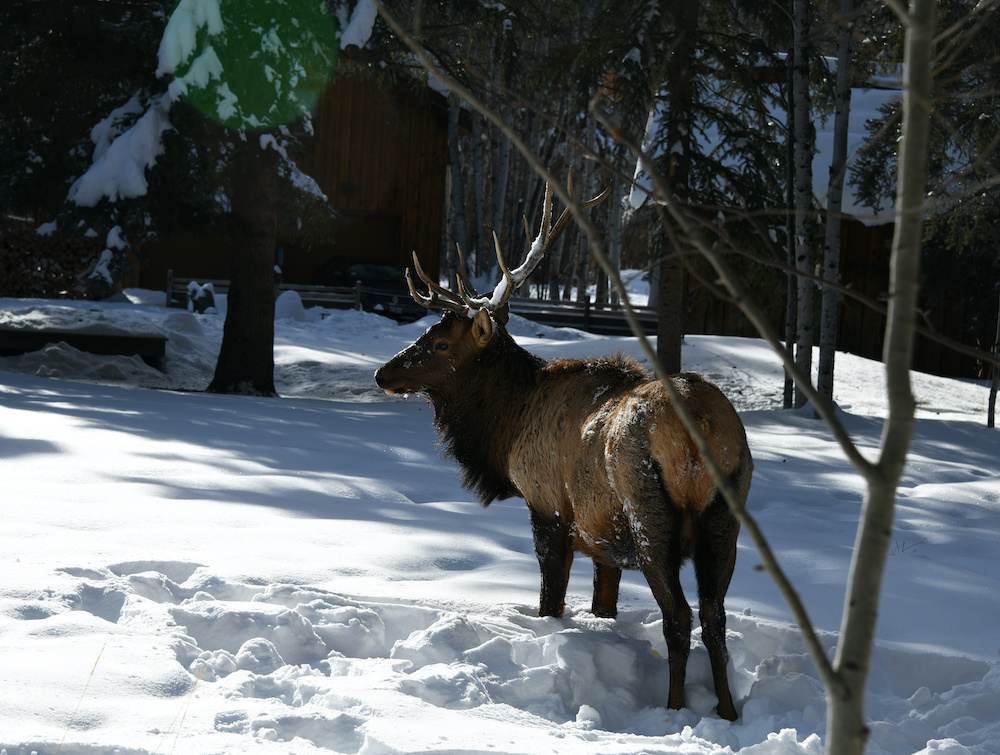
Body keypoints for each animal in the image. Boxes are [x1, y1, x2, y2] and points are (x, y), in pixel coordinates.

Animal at [374, 179, 753, 721]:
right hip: (726, 513)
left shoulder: (548, 508)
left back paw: (674, 710)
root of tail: (700, 425)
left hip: (649, 512)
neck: (507, 427)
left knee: (680, 616)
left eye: (443, 343)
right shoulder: (604, 541)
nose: (383, 373)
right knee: (715, 616)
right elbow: (603, 607)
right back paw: (726, 711)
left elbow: (549, 602)